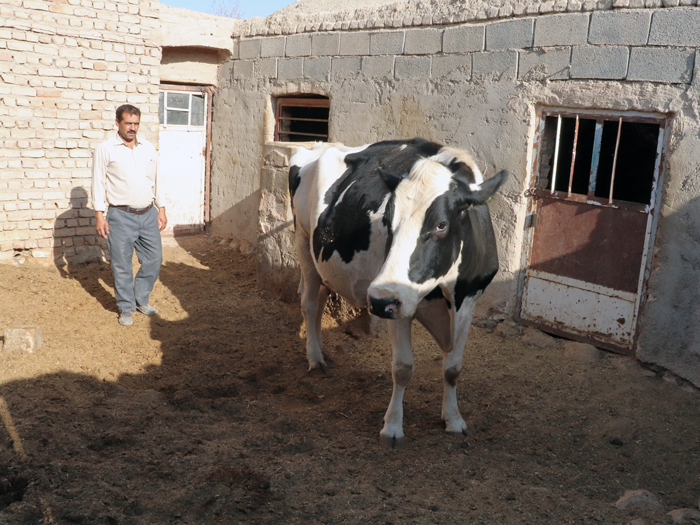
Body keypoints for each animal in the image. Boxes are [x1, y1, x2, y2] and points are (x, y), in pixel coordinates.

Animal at [288, 136, 506, 446]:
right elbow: (402, 368)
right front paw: (392, 427)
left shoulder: (468, 299)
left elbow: (452, 369)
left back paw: (321, 352)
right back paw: (315, 359)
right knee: (308, 301)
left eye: (441, 224)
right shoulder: (395, 304)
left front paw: (453, 419)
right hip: (303, 240)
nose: (379, 302)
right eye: (388, 221)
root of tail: (320, 144)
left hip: (323, 262)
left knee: (319, 299)